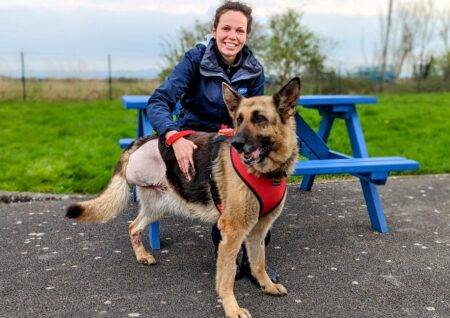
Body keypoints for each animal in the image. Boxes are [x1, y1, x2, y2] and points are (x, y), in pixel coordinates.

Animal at [65, 77, 300, 318]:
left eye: (259, 118)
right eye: (239, 120)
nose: (236, 144)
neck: (268, 173)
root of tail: (144, 140)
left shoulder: (257, 231)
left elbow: (258, 262)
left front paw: (267, 286)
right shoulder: (233, 232)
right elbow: (227, 276)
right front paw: (231, 307)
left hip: (159, 207)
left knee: (133, 226)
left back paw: (142, 255)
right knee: (133, 225)